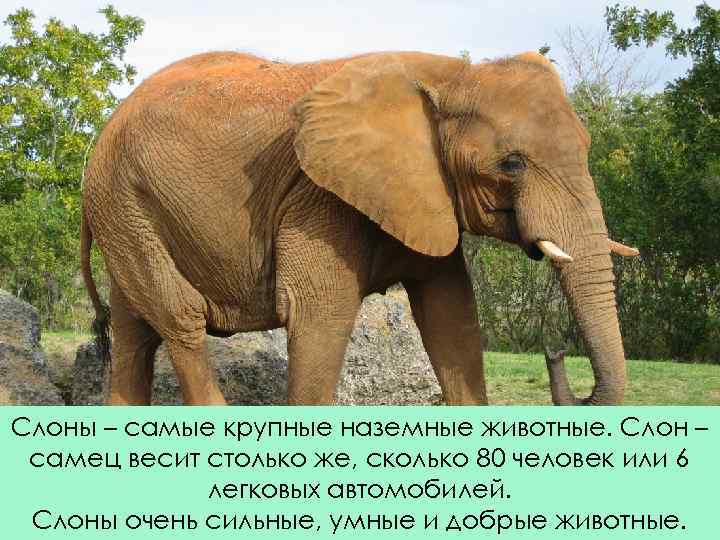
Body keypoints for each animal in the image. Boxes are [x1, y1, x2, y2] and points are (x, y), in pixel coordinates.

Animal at [80, 50, 638, 405]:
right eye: (512, 164)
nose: (556, 349)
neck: (453, 75)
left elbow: (451, 315)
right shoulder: (320, 197)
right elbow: (317, 315)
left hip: (128, 212)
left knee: (134, 337)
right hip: (123, 202)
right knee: (181, 319)